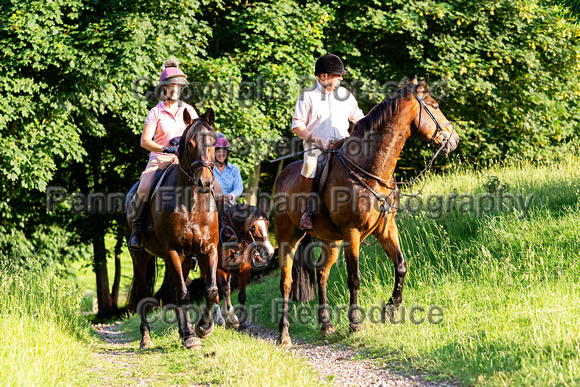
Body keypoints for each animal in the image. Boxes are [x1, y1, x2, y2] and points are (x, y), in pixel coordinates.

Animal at [125, 108, 219, 352]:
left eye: (214, 142)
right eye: (190, 144)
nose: (205, 182)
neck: (192, 201)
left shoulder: (209, 249)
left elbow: (210, 290)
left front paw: (203, 328)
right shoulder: (173, 251)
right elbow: (185, 294)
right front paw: (192, 337)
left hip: (184, 260)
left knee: (174, 291)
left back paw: (183, 332)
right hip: (141, 257)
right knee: (144, 294)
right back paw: (146, 339)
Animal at [274, 76, 460, 348]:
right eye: (434, 106)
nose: (454, 139)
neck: (370, 171)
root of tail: (283, 176)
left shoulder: (386, 228)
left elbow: (401, 265)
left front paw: (391, 308)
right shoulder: (352, 233)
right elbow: (354, 278)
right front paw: (355, 324)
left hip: (331, 242)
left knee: (322, 274)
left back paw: (326, 326)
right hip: (288, 239)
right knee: (286, 283)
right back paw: (284, 335)